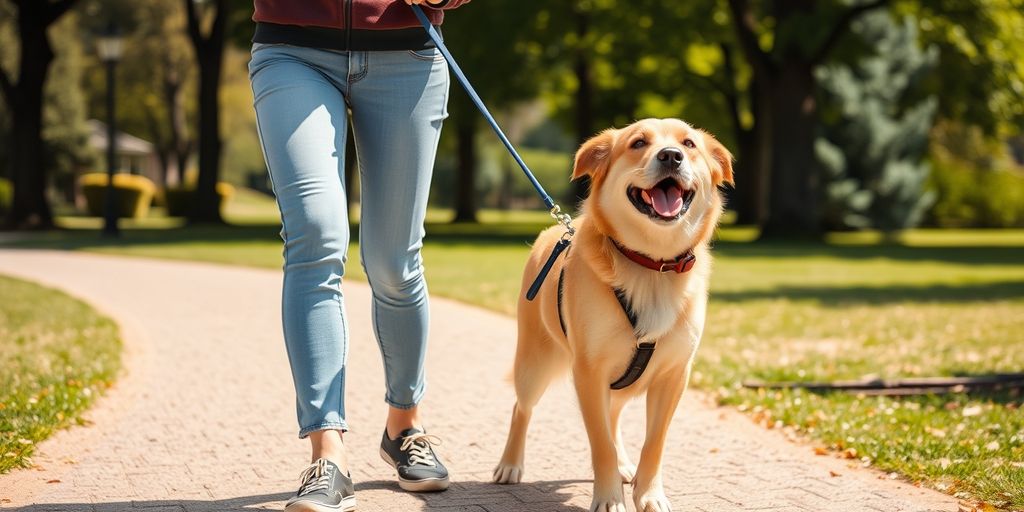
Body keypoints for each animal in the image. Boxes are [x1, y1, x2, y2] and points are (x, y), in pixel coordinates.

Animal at [491, 117, 733, 509]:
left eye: (689, 143)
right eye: (638, 143)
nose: (671, 156)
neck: (652, 266)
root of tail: (552, 230)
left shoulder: (674, 376)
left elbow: (654, 444)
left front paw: (648, 494)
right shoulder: (589, 372)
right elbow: (600, 442)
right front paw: (609, 497)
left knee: (614, 416)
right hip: (534, 362)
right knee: (521, 408)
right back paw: (510, 464)